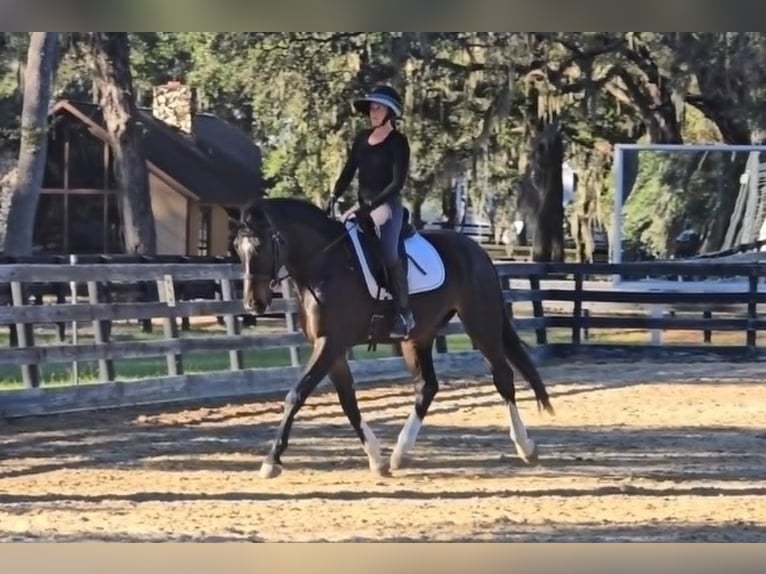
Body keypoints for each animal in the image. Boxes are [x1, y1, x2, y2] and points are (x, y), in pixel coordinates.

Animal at [225, 198, 556, 482]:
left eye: (261, 245)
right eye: (238, 248)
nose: (253, 304)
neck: (325, 264)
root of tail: (477, 251)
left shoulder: (330, 343)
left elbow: (296, 394)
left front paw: (271, 461)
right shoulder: (332, 348)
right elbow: (348, 401)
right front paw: (377, 459)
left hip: (480, 323)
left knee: (503, 378)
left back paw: (525, 447)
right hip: (418, 336)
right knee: (427, 387)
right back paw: (400, 453)